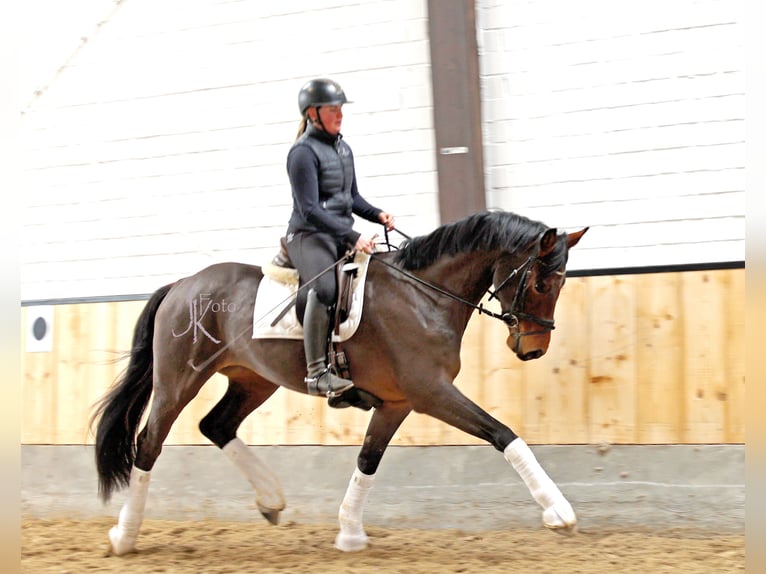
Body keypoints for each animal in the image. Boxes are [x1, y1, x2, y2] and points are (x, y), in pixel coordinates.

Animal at [93, 209, 592, 556]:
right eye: (542, 284)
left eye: (562, 284)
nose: (533, 349)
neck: (423, 295)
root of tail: (182, 284)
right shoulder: (431, 392)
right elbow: (503, 434)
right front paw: (559, 512)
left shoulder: (397, 403)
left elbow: (368, 461)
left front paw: (350, 533)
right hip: (179, 381)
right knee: (149, 443)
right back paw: (124, 536)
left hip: (253, 379)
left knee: (216, 425)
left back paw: (271, 499)